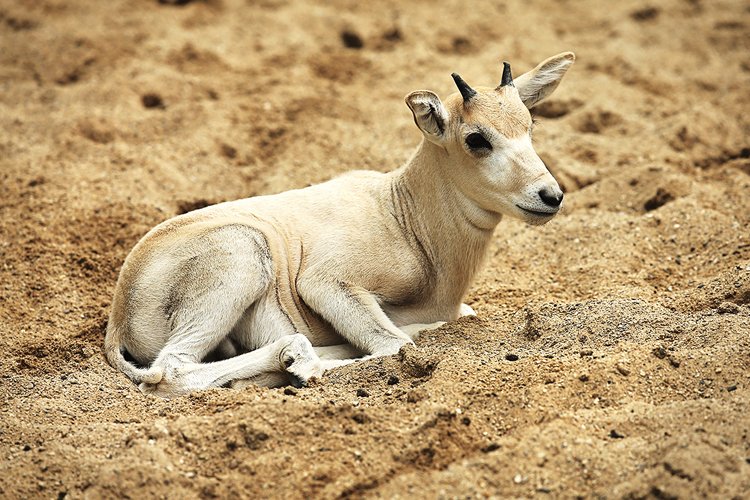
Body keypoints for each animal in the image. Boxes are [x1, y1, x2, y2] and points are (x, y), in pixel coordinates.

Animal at [104, 49, 576, 394]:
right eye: (476, 138)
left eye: (529, 125)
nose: (550, 196)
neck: (402, 211)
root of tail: (118, 317)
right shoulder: (325, 283)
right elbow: (394, 344)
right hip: (244, 253)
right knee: (172, 371)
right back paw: (296, 362)